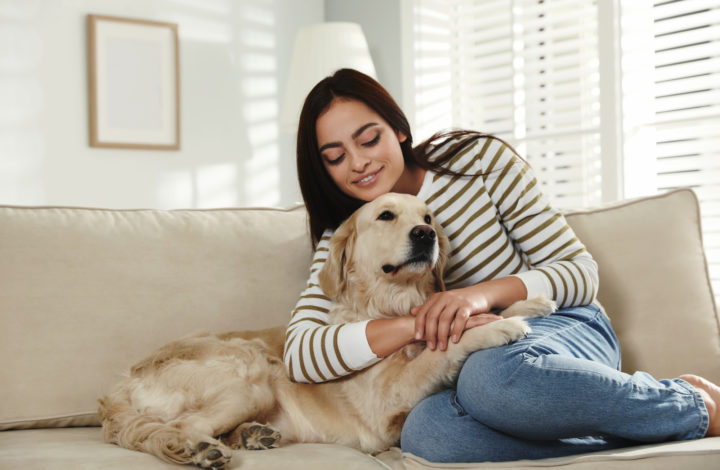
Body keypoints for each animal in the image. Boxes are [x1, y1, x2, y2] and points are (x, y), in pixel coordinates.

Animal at [98, 193, 556, 468]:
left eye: (428, 217)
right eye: (385, 215)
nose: (426, 234)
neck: (393, 303)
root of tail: (119, 386)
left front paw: (528, 302)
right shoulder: (382, 404)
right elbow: (438, 349)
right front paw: (497, 325)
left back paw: (252, 435)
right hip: (250, 374)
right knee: (182, 427)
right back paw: (203, 450)